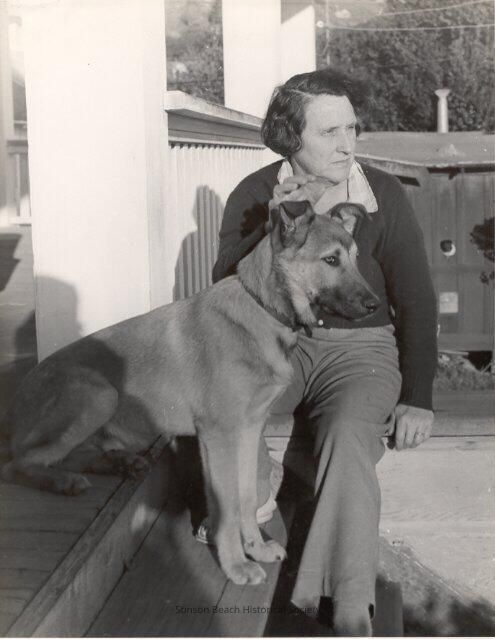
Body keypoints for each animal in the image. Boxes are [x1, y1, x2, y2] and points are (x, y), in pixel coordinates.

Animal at [1, 201, 378, 586]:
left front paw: (255, 549)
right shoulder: (219, 435)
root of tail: (16, 403)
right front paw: (237, 565)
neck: (262, 308)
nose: (376, 305)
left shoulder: (249, 429)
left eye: (355, 258)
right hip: (99, 394)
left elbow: (246, 495)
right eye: (330, 260)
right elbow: (227, 506)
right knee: (20, 463)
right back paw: (63, 481)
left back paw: (117, 463)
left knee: (70, 454)